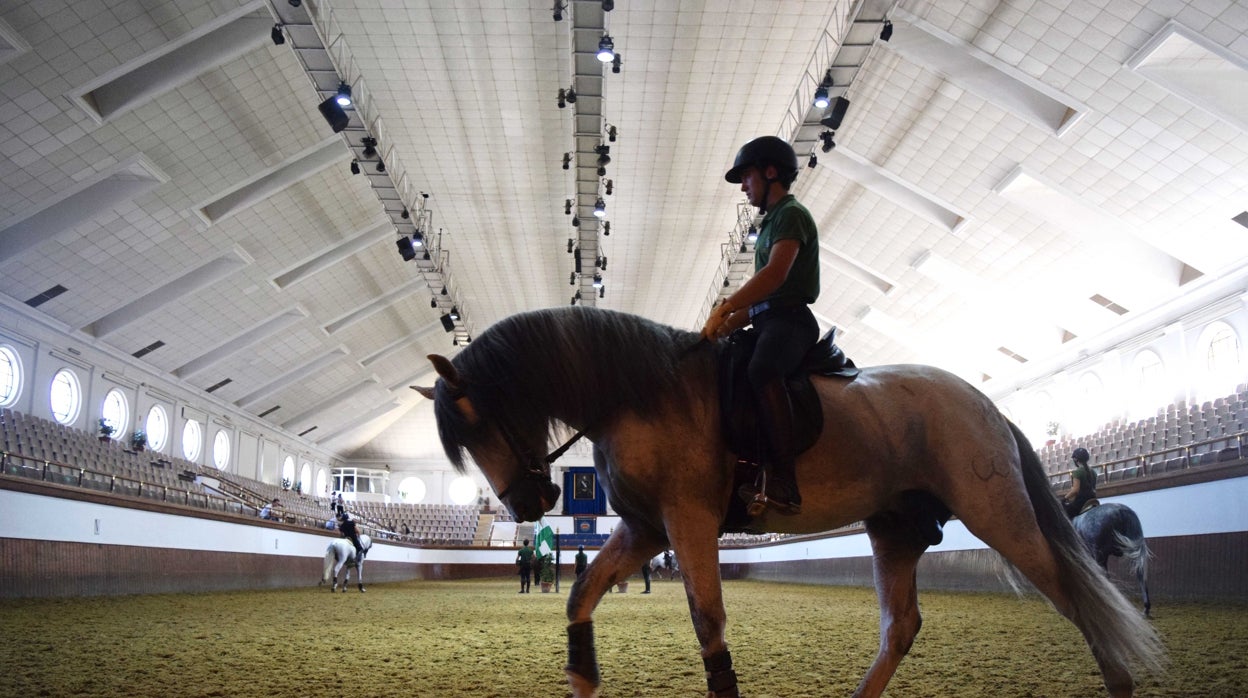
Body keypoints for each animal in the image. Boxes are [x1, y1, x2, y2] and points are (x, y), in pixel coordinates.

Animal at [414, 309, 1163, 698]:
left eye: (479, 421)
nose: (528, 502)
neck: (640, 393)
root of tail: (986, 406)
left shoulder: (686, 523)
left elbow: (708, 621)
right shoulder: (646, 528)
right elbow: (581, 593)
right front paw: (582, 676)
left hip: (998, 515)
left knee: (1078, 595)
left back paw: (1120, 680)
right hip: (895, 529)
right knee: (902, 626)